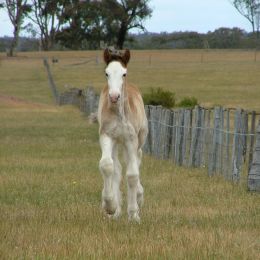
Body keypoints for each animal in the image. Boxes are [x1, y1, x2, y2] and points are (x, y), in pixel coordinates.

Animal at [97, 48, 147, 221]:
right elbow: (107, 165)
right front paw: (110, 206)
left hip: (139, 139)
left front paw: (133, 214)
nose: (114, 96)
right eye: (106, 73)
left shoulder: (131, 140)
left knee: (137, 160)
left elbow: (132, 174)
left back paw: (139, 196)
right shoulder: (106, 136)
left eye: (124, 73)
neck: (119, 113)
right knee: (117, 167)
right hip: (116, 142)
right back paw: (116, 210)